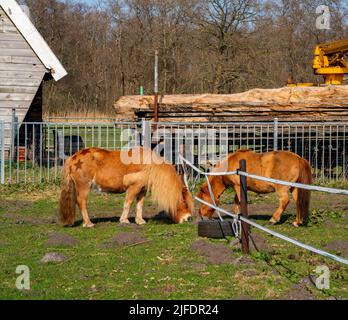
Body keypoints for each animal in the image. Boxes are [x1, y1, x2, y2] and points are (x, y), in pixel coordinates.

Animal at [57, 146, 193, 226]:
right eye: (184, 203)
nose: (188, 218)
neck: (148, 165)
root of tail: (73, 158)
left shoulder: (142, 190)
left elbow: (139, 205)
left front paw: (139, 220)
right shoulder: (133, 188)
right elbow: (128, 203)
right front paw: (124, 220)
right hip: (84, 186)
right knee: (81, 201)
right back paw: (88, 223)